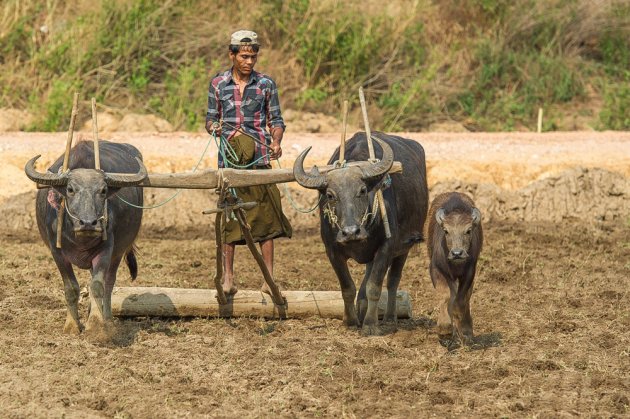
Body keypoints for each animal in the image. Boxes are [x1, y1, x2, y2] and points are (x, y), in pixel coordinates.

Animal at [25, 141, 147, 338]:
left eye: (103, 190)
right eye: (70, 189)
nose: (89, 223)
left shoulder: (107, 250)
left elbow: (98, 286)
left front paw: (96, 325)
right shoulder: (57, 253)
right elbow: (71, 288)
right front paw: (72, 325)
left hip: (118, 252)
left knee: (108, 283)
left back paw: (107, 319)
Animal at [296, 133, 430, 336]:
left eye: (362, 190)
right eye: (330, 195)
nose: (351, 232)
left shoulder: (386, 248)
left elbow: (374, 286)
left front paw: (370, 324)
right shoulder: (332, 251)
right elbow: (347, 287)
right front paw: (350, 321)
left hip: (405, 247)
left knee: (393, 281)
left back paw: (389, 318)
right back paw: (361, 308)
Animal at [430, 192, 484, 346]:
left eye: (468, 230)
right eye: (446, 231)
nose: (457, 253)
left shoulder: (469, 272)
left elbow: (461, 300)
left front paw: (465, 332)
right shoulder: (437, 270)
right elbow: (445, 295)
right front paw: (444, 331)